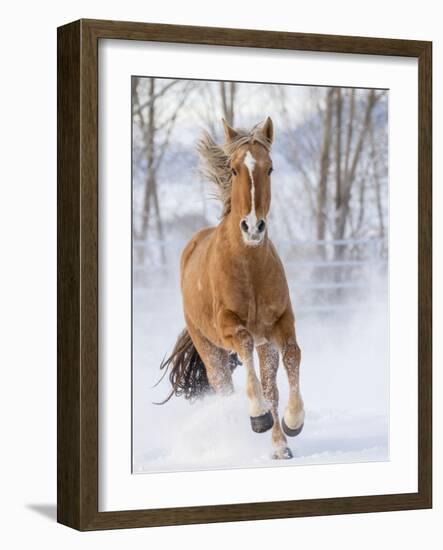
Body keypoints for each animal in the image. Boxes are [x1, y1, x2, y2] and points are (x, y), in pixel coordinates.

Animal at [160, 117, 306, 462]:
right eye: (235, 169)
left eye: (270, 168)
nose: (253, 227)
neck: (249, 267)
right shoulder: (230, 328)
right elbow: (245, 344)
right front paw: (258, 416)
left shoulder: (280, 324)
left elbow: (293, 354)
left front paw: (294, 421)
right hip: (209, 349)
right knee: (224, 388)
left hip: (265, 345)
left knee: (271, 388)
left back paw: (280, 446)